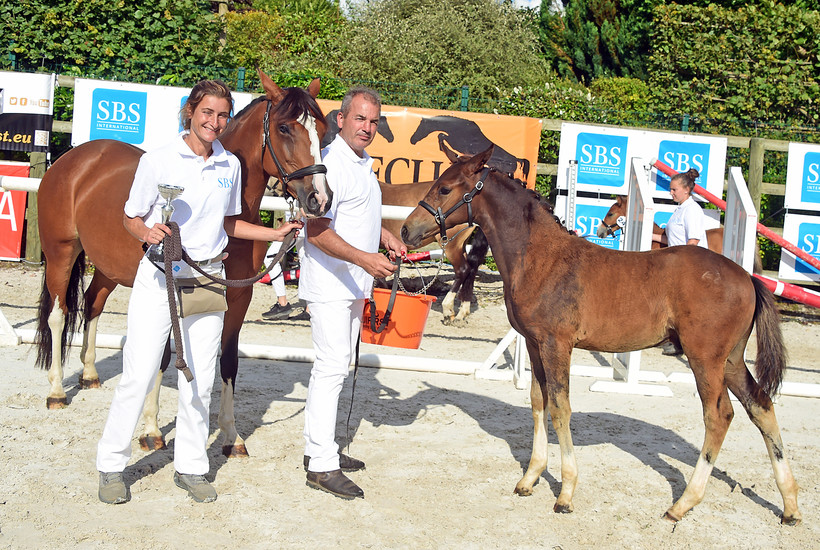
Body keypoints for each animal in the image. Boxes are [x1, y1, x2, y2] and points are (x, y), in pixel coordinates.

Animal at [34, 70, 330, 458]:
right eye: (284, 128)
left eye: (322, 129)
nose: (319, 199)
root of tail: (74, 159)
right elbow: (161, 357)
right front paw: (150, 430)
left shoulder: (237, 299)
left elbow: (228, 360)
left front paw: (231, 436)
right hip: (61, 254)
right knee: (58, 314)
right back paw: (56, 391)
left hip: (108, 268)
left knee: (91, 303)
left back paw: (89, 375)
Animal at [404, 146, 800, 528]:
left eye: (444, 188)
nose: (407, 230)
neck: (538, 257)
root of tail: (748, 278)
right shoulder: (533, 344)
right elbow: (538, 402)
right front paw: (530, 478)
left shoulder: (557, 344)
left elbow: (560, 408)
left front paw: (565, 494)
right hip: (731, 359)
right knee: (761, 406)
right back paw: (790, 506)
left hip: (705, 358)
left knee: (719, 416)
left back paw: (682, 504)